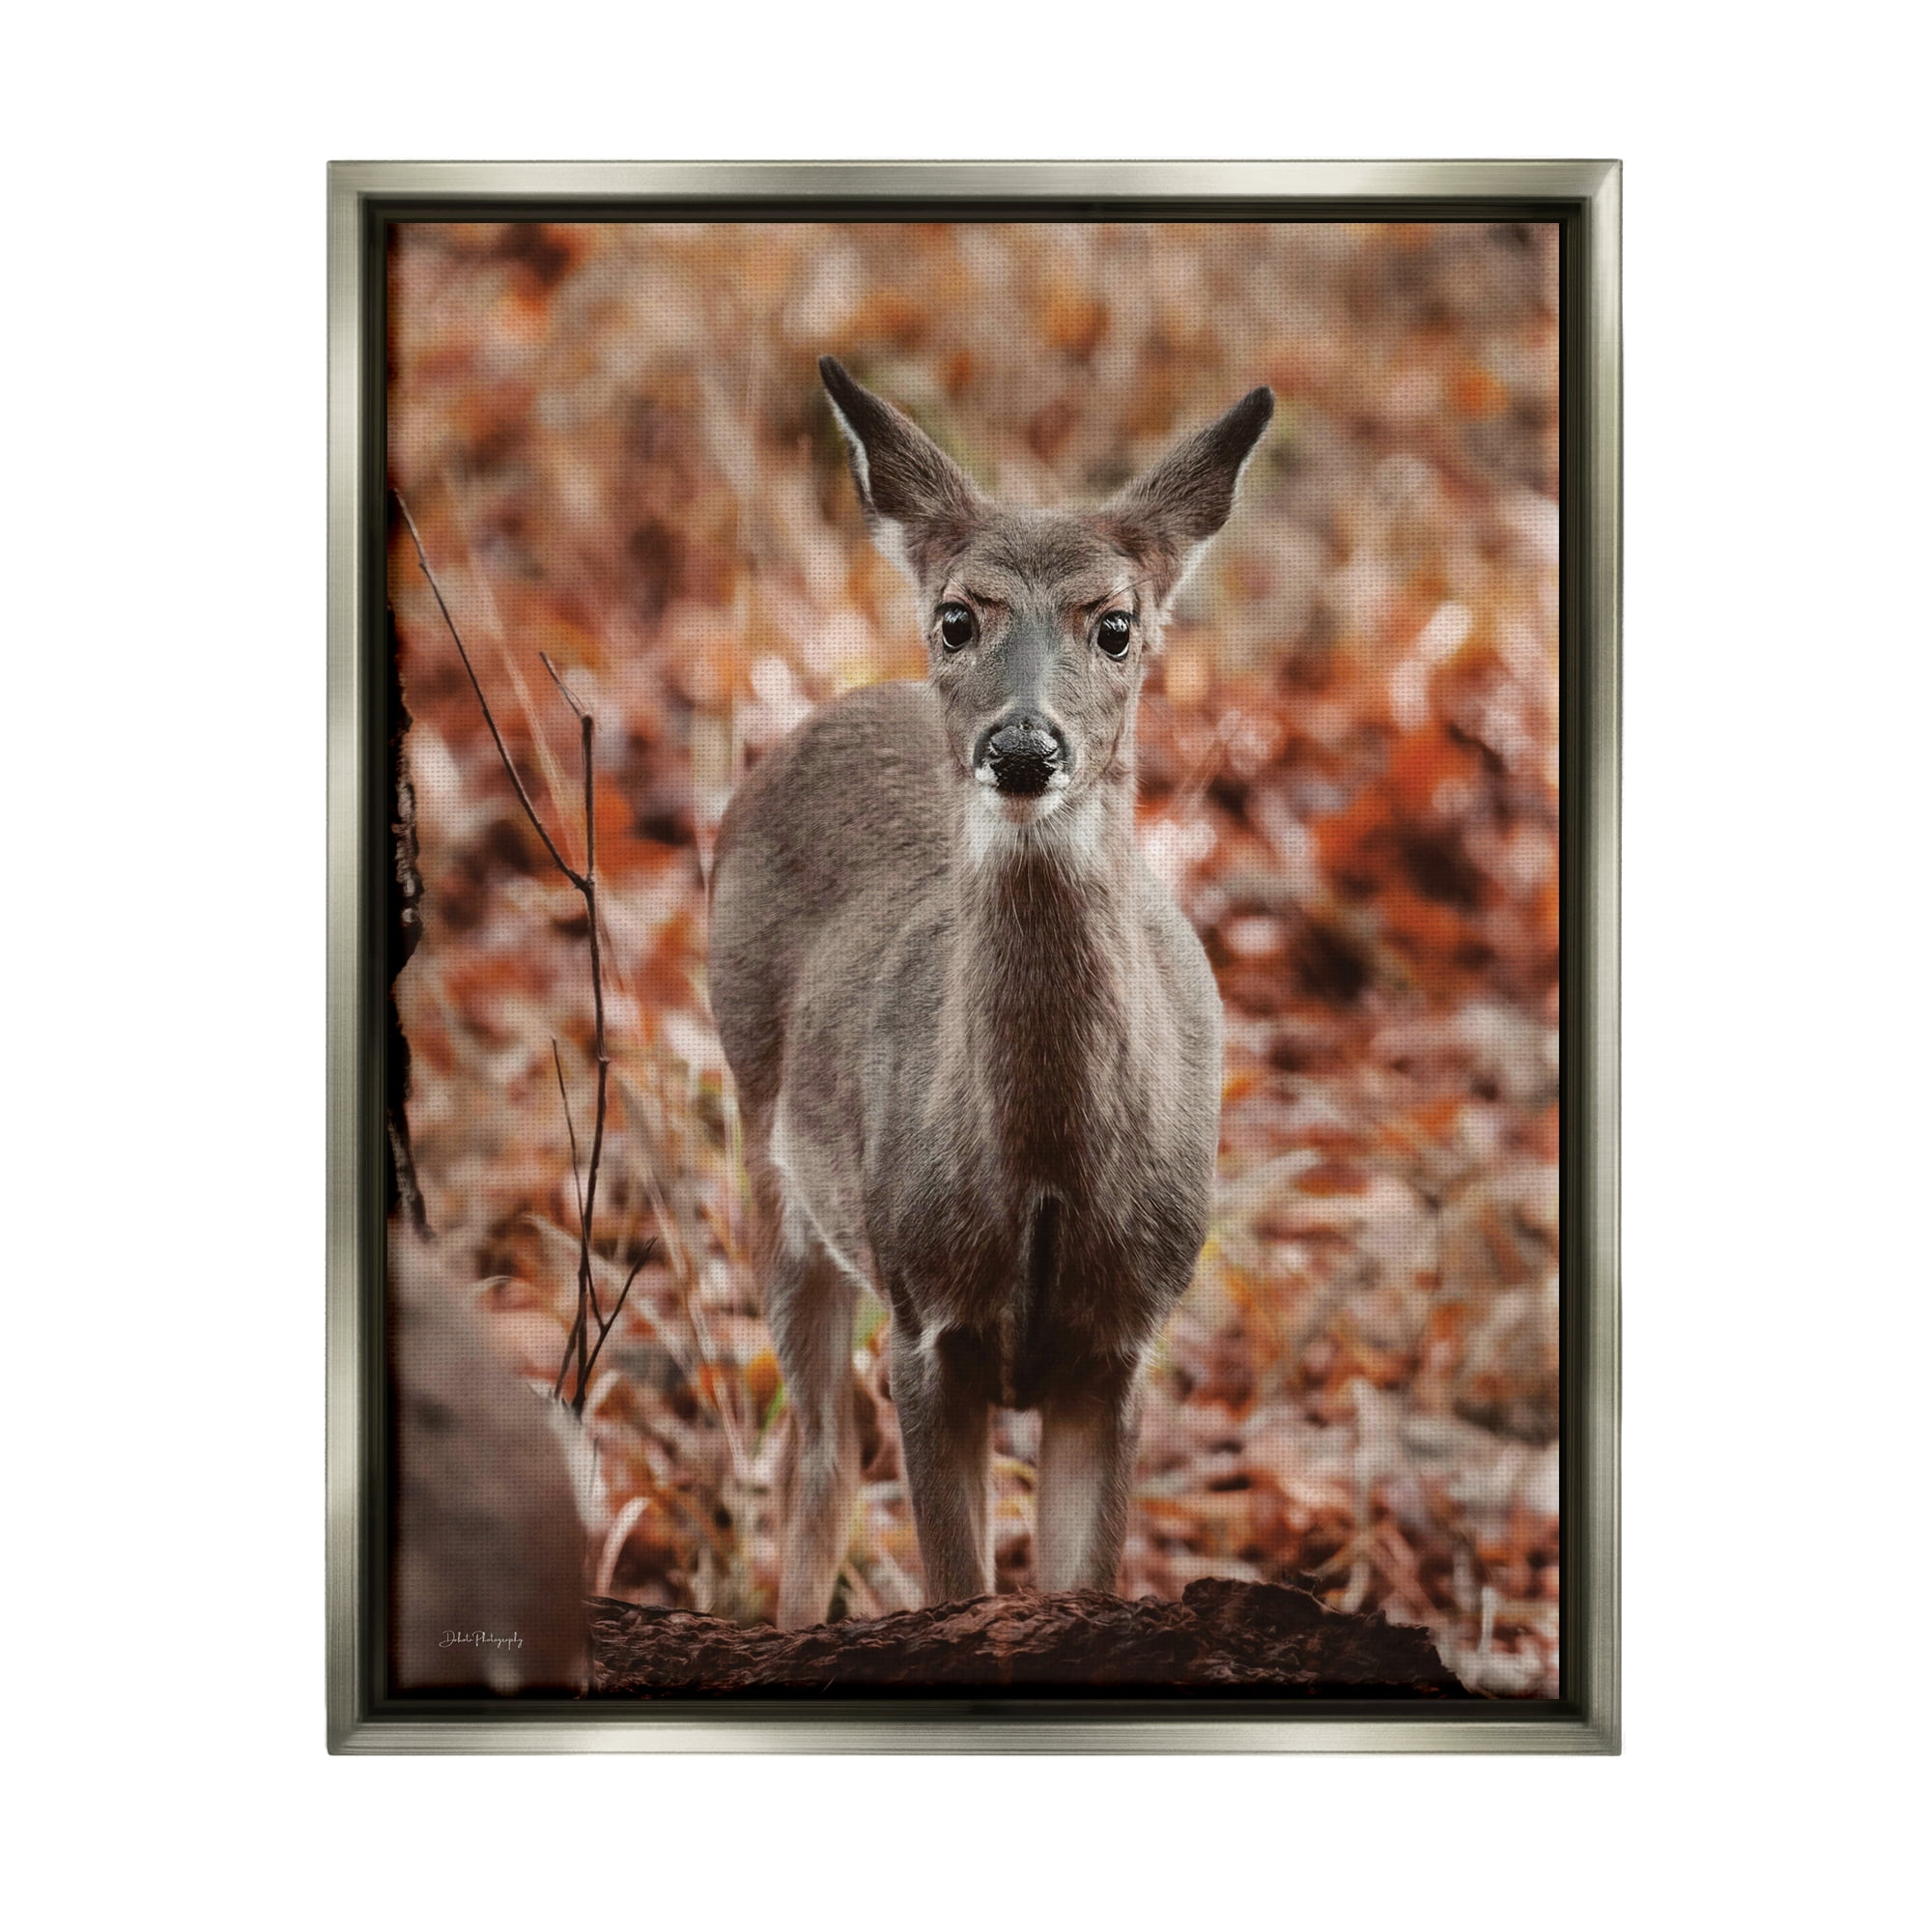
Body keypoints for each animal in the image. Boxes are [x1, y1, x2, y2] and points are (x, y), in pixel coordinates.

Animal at [708, 356, 1274, 1628]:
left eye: (1114, 625)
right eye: (957, 617)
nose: (1022, 747)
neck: (1045, 1170)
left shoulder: (1120, 1342)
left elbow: (1078, 1580)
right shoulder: (929, 1318)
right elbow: (954, 1583)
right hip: (772, 1164)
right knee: (821, 1448)